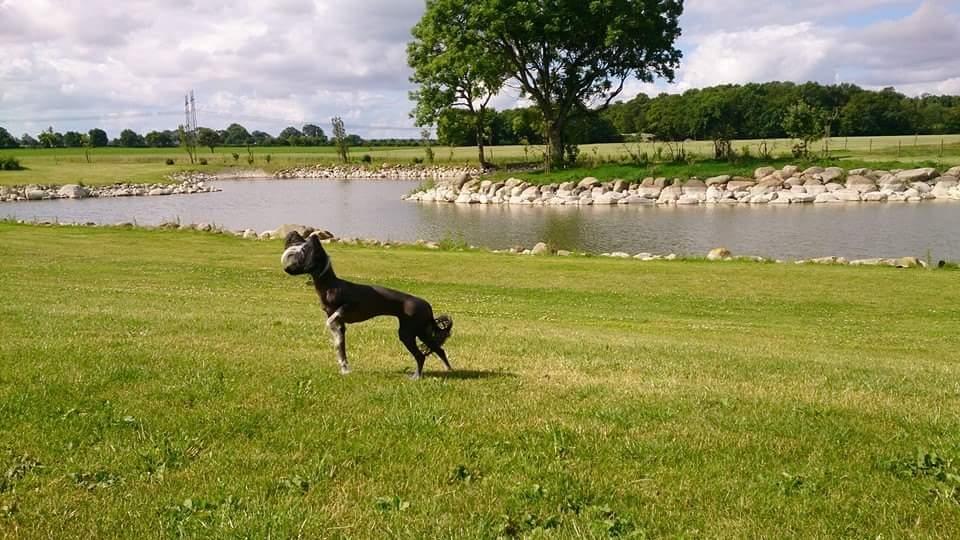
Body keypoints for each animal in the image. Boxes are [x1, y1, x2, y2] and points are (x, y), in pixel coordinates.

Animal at [282, 231, 454, 380]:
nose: (286, 269)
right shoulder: (340, 327)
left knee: (420, 356)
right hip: (420, 331)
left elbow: (337, 314)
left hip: (407, 333)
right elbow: (341, 349)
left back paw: (416, 376)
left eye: (303, 254)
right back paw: (448, 370)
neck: (331, 285)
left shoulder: (351, 305)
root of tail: (427, 305)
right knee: (439, 349)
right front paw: (345, 369)